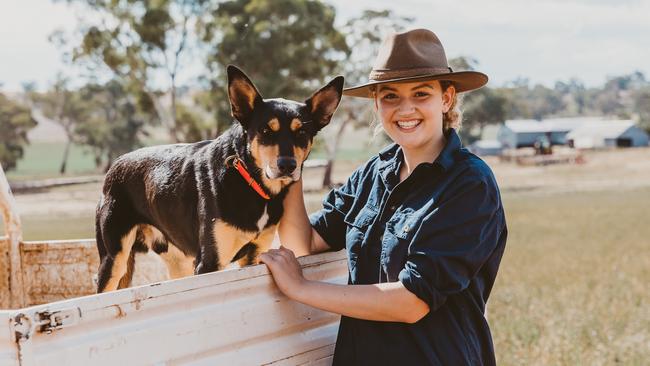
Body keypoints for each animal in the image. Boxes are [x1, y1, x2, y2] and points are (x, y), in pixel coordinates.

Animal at [94, 66, 344, 294]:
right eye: (265, 130)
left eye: (301, 133)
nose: (287, 165)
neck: (250, 182)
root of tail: (116, 164)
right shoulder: (209, 262)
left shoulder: (254, 256)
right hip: (114, 259)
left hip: (178, 262)